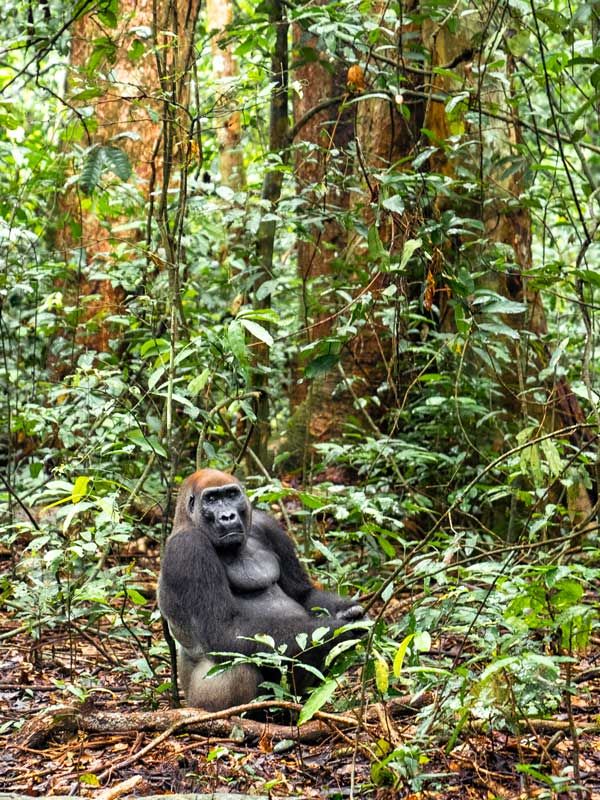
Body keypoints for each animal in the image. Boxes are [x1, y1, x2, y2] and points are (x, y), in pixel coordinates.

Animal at [158, 469, 365, 711]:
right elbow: (225, 630)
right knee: (237, 666)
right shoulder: (188, 548)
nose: (227, 516)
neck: (187, 520)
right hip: (197, 700)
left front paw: (349, 612)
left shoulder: (267, 525)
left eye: (231, 495)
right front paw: (342, 630)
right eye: (211, 499)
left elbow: (302, 593)